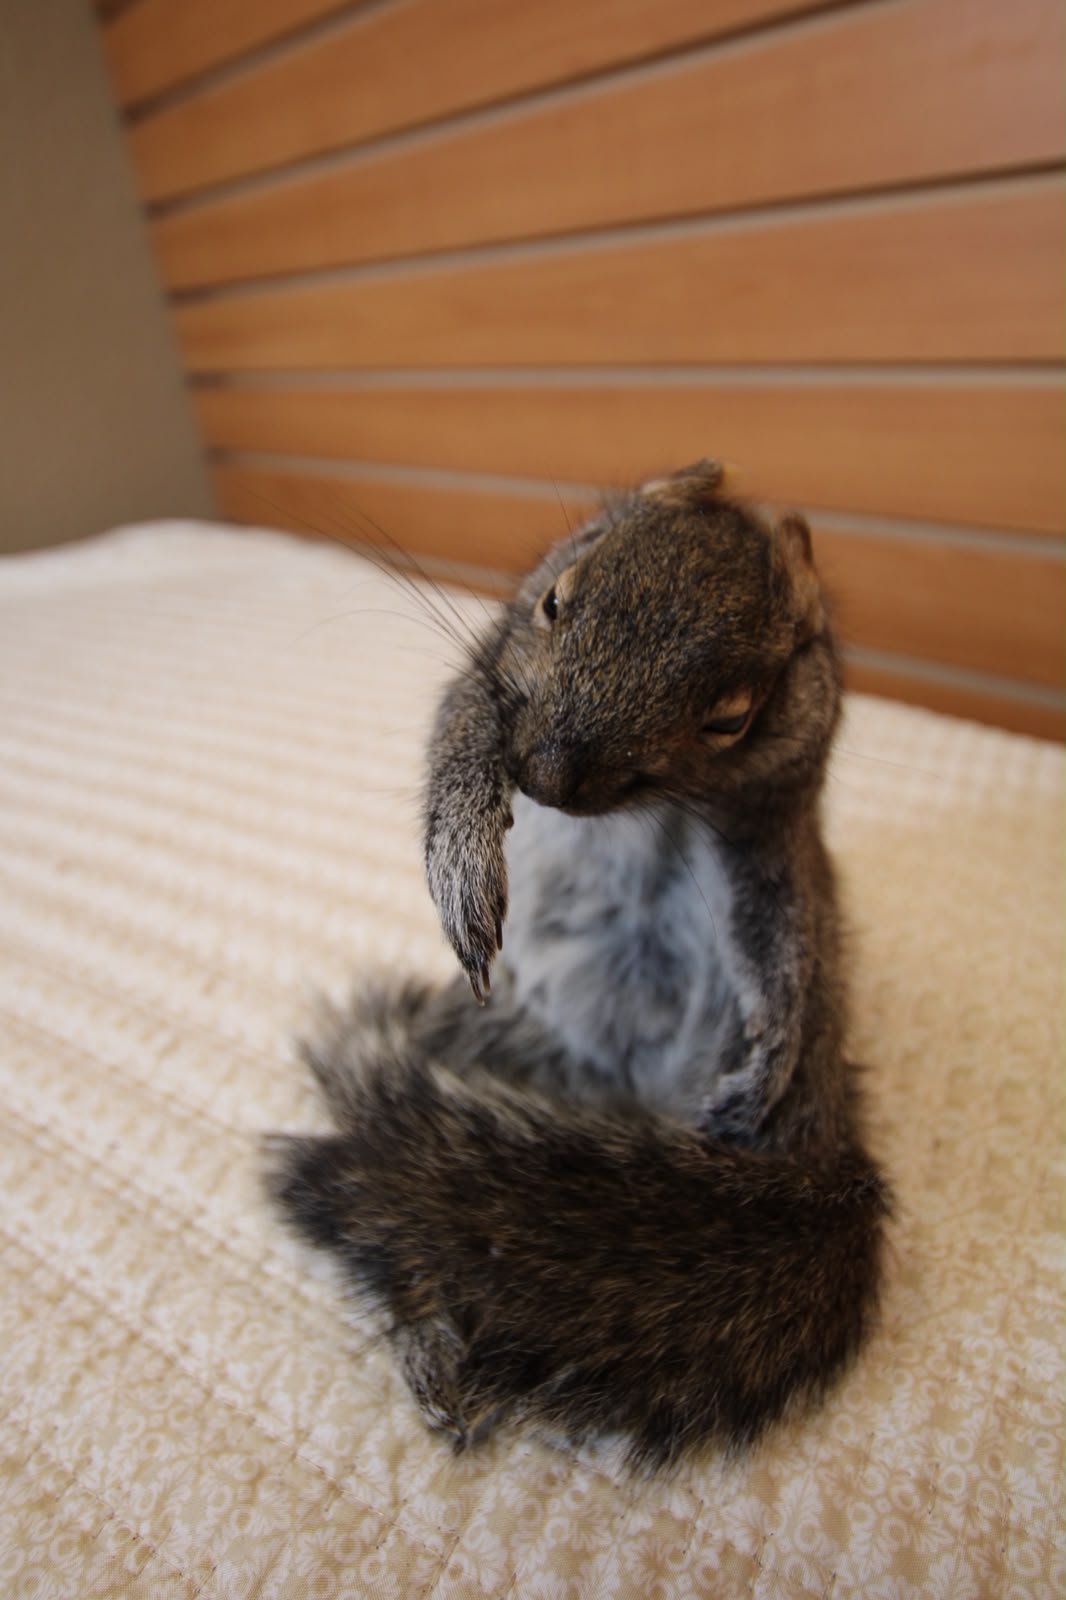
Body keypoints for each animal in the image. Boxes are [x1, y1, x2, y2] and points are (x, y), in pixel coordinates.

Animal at [267, 460, 891, 1471]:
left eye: (731, 717)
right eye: (556, 599)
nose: (549, 777)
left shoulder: (775, 831)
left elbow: (781, 932)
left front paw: (767, 1048)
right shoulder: (488, 675)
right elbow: (460, 737)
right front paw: (463, 863)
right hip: (469, 1044)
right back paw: (432, 1341)